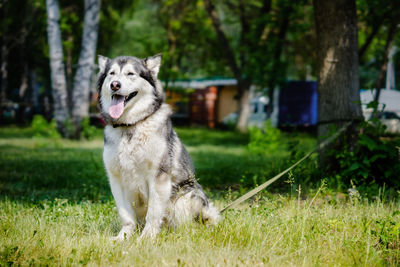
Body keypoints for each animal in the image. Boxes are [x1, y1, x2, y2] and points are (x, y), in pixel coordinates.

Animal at [97, 54, 222, 241]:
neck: (131, 126)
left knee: (193, 222)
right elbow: (126, 215)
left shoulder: (158, 177)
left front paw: (146, 238)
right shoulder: (116, 178)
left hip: (188, 195)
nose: (115, 85)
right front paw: (123, 237)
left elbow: (154, 213)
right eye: (111, 74)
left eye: (130, 74)